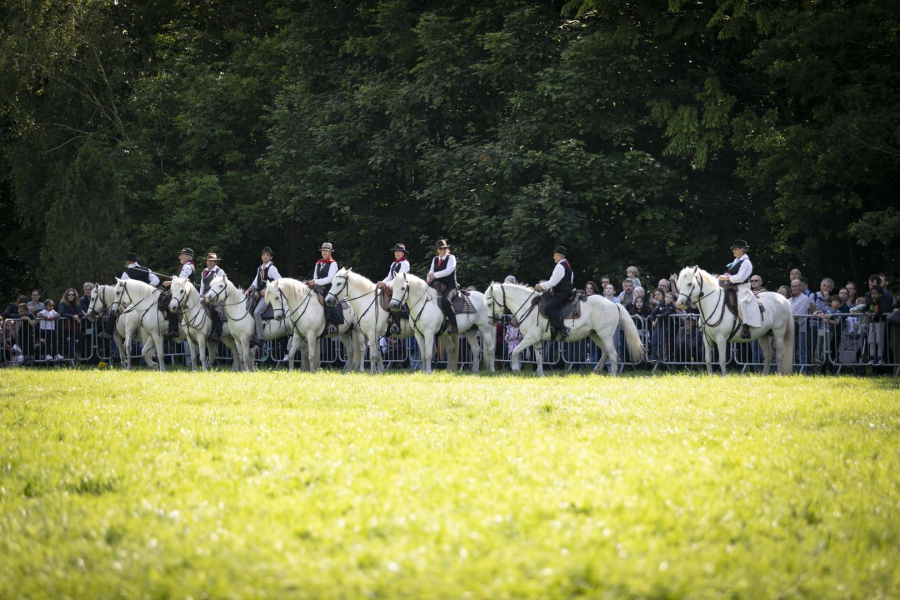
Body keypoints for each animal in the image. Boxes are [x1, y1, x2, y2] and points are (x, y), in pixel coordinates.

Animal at [324, 268, 458, 372]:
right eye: (332, 282)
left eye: (339, 283)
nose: (328, 300)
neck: (369, 301)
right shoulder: (375, 334)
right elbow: (378, 354)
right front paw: (380, 371)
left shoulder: (372, 333)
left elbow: (373, 355)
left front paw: (372, 372)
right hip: (442, 334)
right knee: (450, 350)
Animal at [486, 282, 648, 376]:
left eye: (489, 303)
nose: (491, 321)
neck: (529, 306)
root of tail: (614, 304)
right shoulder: (536, 340)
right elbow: (538, 359)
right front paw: (540, 375)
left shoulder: (530, 338)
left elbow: (515, 352)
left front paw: (515, 369)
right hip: (596, 335)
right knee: (606, 352)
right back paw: (597, 370)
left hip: (605, 335)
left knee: (613, 354)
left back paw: (613, 374)